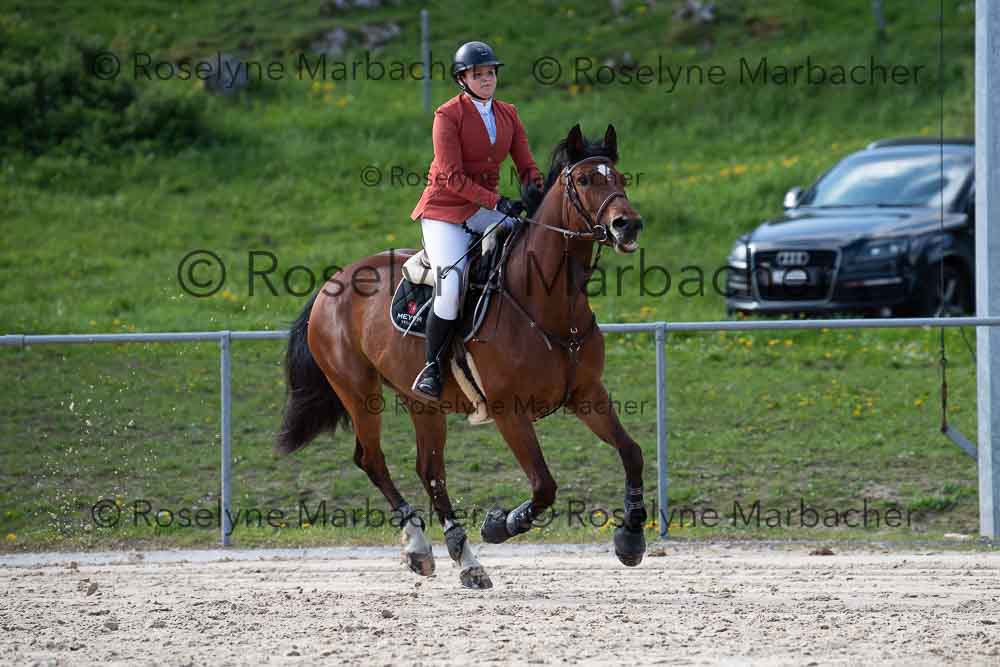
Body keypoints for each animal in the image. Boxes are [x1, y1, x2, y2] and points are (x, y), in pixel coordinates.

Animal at [276, 124, 647, 589]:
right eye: (582, 180)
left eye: (620, 178)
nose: (627, 225)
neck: (547, 301)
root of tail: (333, 282)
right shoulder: (509, 411)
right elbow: (544, 486)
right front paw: (499, 525)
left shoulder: (587, 395)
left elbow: (631, 452)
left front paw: (631, 539)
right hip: (358, 392)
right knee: (372, 459)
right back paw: (423, 547)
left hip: (421, 402)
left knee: (430, 471)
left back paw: (462, 556)